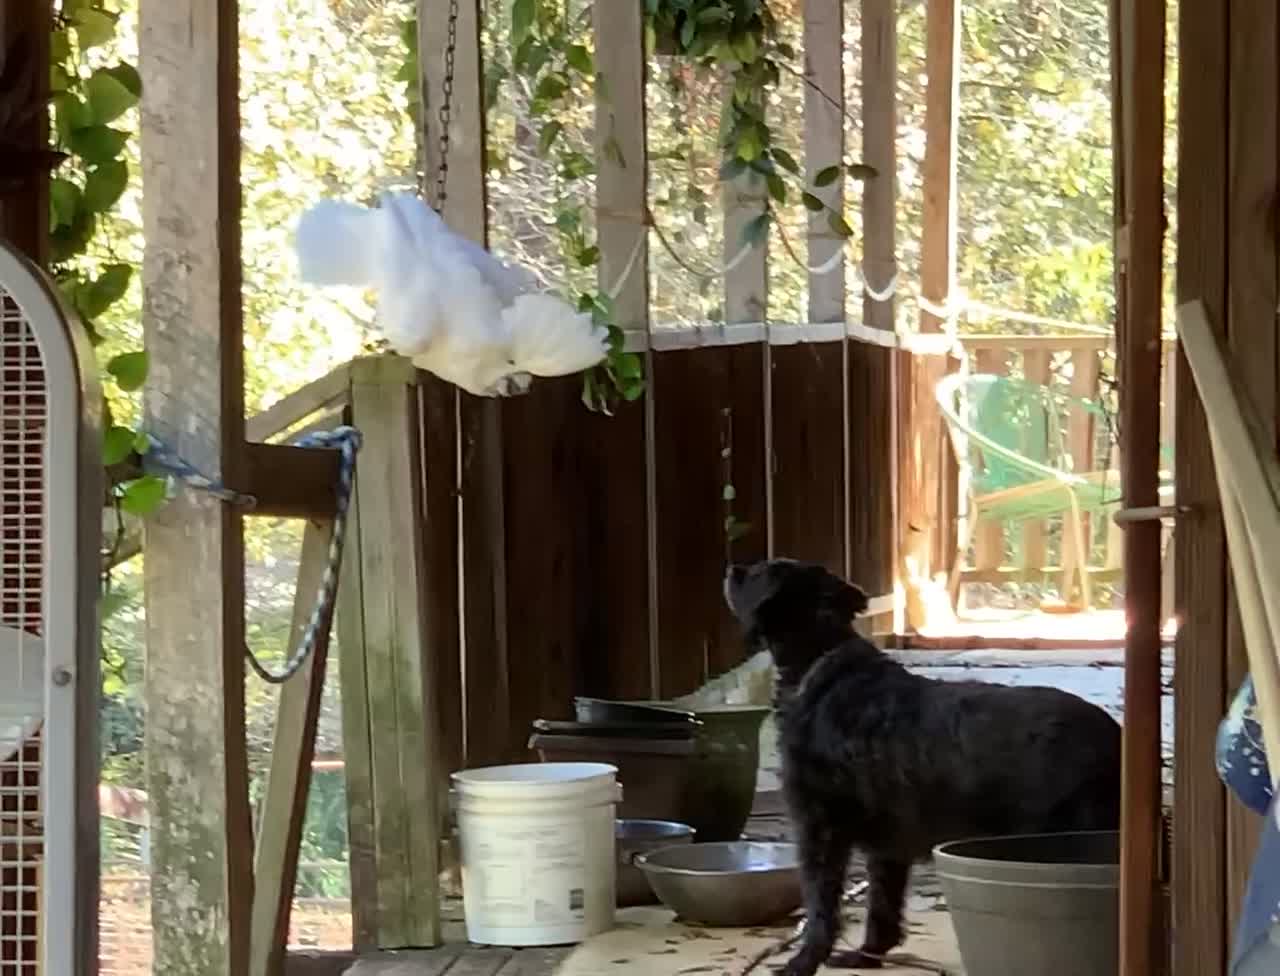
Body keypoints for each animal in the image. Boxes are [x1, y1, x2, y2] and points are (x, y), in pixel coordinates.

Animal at [727, 558, 1116, 968]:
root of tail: (1110, 738)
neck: (821, 665)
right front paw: (866, 956)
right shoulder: (888, 842)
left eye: (759, 574)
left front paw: (803, 962)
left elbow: (821, 904)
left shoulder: (819, 829)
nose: (733, 568)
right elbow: (883, 903)